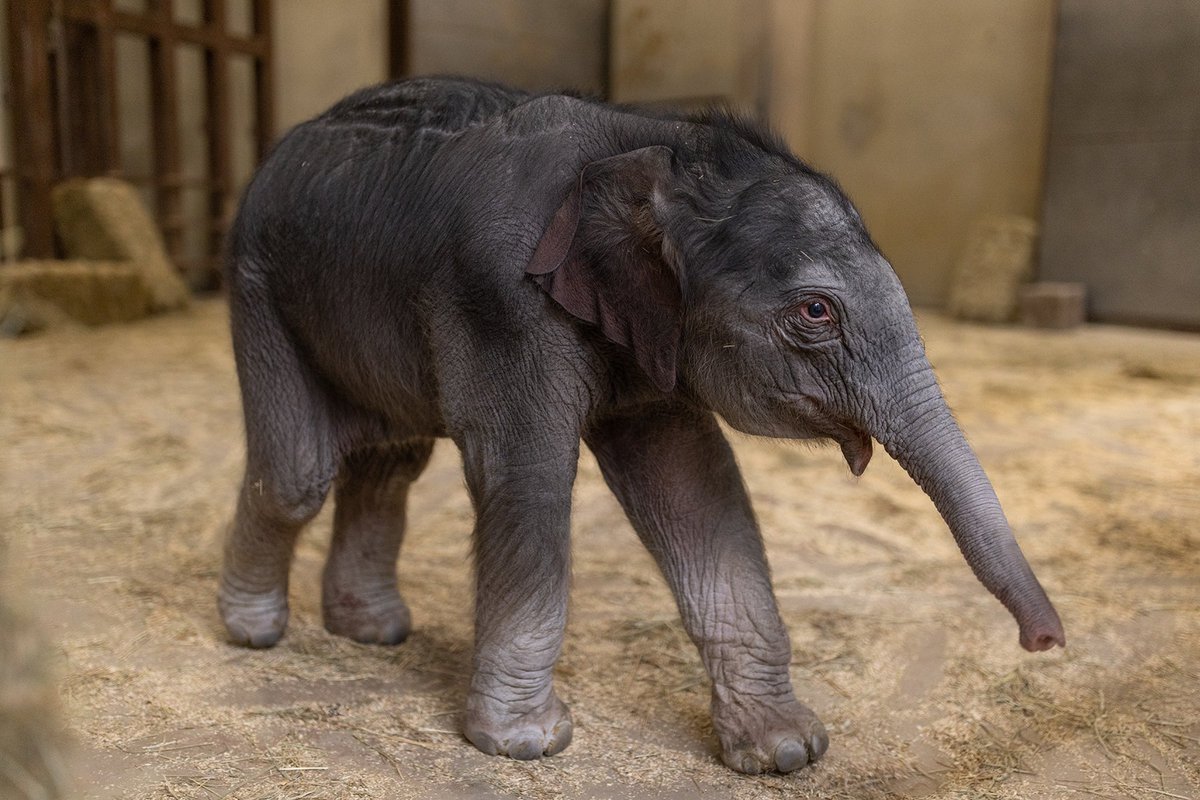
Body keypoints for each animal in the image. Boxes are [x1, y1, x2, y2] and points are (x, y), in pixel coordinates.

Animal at [218, 76, 1065, 774]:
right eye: (815, 312)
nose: (1047, 642)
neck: (653, 146)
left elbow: (697, 489)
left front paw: (785, 751)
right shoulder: (499, 303)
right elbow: (528, 479)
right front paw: (527, 744)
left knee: (390, 458)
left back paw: (373, 632)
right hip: (255, 281)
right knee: (298, 475)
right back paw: (254, 634)